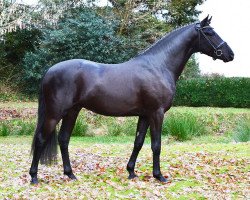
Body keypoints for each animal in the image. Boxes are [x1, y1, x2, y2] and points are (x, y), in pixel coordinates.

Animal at [29, 16, 234, 184]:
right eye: (210, 32)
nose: (230, 54)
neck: (158, 66)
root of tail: (49, 70)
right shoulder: (157, 113)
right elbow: (156, 145)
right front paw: (159, 176)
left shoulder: (144, 115)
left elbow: (138, 142)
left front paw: (131, 172)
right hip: (54, 114)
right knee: (40, 139)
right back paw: (34, 177)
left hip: (72, 111)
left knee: (63, 139)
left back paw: (70, 174)